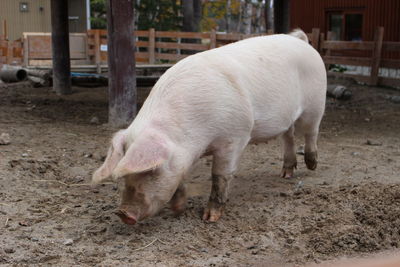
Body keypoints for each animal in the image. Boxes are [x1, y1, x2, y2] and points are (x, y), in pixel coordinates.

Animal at [94, 29, 328, 225]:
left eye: (151, 171)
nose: (123, 213)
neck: (196, 140)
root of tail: (300, 40)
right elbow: (180, 177)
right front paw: (178, 210)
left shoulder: (235, 136)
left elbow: (220, 176)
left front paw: (209, 218)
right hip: (288, 117)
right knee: (289, 136)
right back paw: (285, 174)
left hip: (316, 103)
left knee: (311, 131)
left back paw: (312, 165)